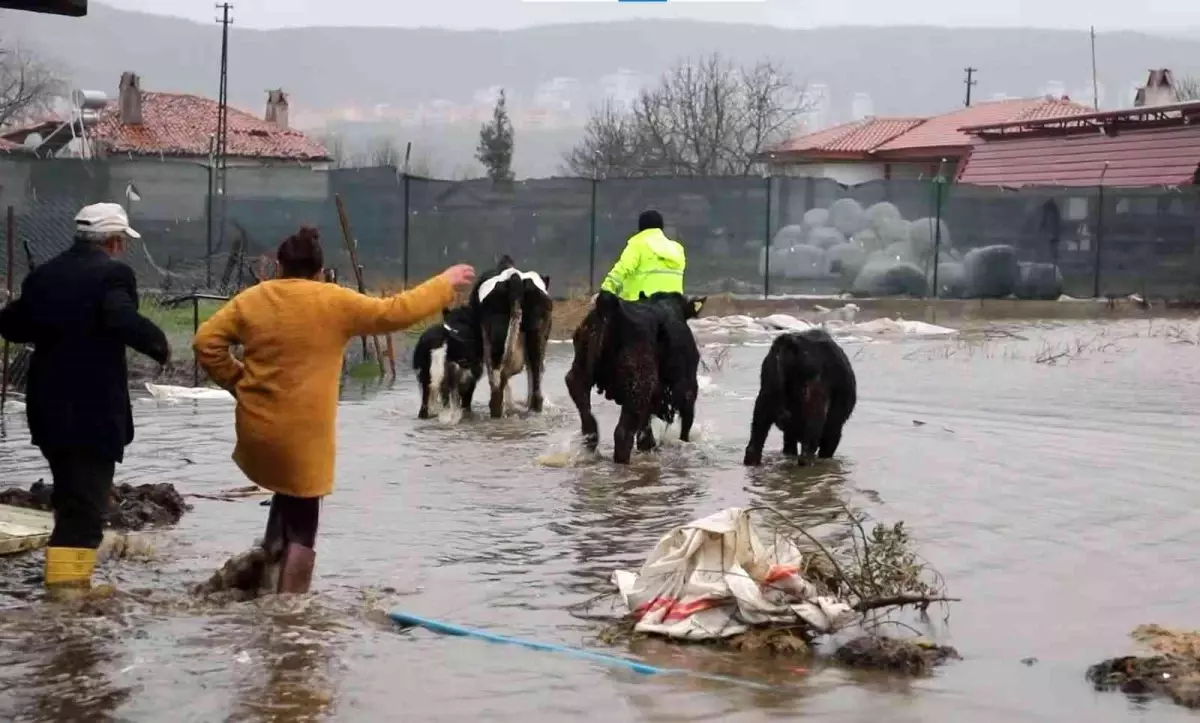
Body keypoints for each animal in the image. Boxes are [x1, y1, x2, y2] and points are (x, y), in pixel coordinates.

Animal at [468, 254, 552, 415]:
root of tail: (514, 277)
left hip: (497, 335)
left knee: (498, 372)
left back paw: (498, 408)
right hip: (537, 332)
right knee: (535, 370)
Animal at [561, 288, 700, 461]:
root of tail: (608, 305)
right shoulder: (689, 390)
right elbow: (685, 428)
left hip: (579, 375)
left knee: (589, 424)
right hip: (639, 387)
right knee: (622, 434)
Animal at [744, 329, 859, 463]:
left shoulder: (789, 432)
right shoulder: (834, 428)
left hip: (764, 400)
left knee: (753, 447)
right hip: (816, 411)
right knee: (807, 452)